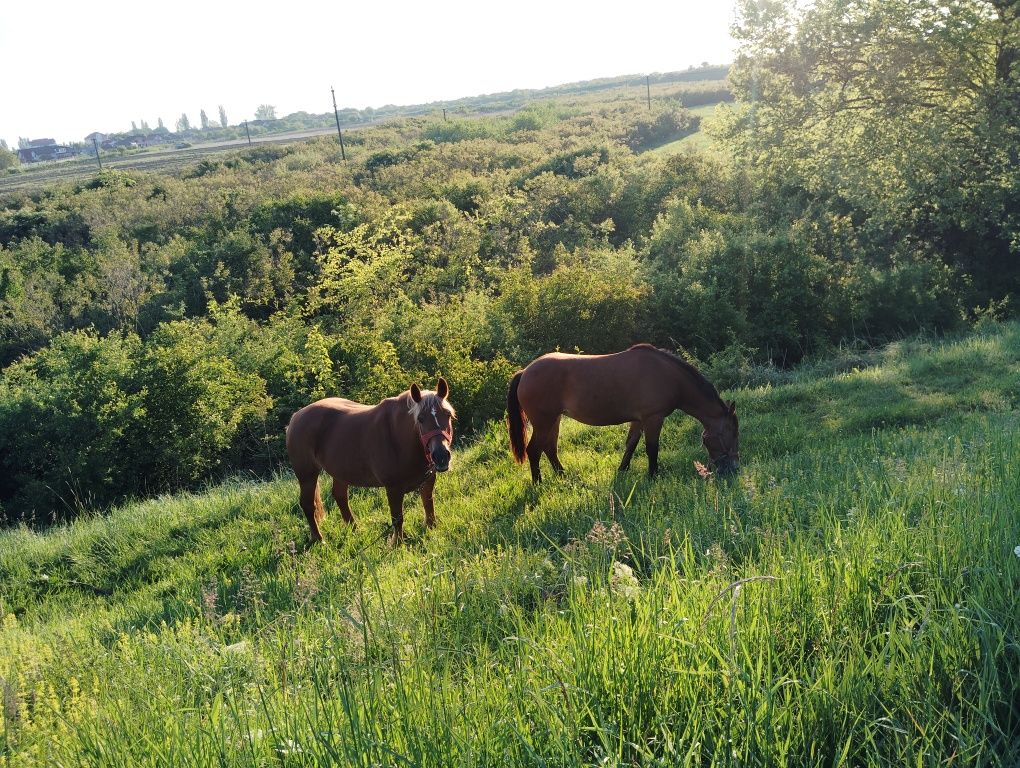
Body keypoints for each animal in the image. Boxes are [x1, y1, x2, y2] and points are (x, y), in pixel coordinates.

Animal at [285, 379, 456, 546]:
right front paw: (397, 543)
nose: (441, 456)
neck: (400, 438)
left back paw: (354, 529)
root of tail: (295, 417)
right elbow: (397, 518)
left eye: (447, 415)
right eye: (420, 419)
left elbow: (428, 505)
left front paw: (431, 528)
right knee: (308, 504)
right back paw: (319, 539)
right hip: (307, 475)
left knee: (340, 496)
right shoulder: (393, 488)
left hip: (341, 471)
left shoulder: (428, 479)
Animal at [505, 346, 738, 481]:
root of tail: (524, 372)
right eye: (732, 435)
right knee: (534, 450)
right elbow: (652, 448)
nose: (733, 469)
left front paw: (623, 469)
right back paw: (538, 482)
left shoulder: (639, 420)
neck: (669, 377)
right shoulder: (653, 418)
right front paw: (653, 475)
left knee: (549, 448)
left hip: (554, 420)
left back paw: (563, 475)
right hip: (544, 421)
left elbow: (631, 444)